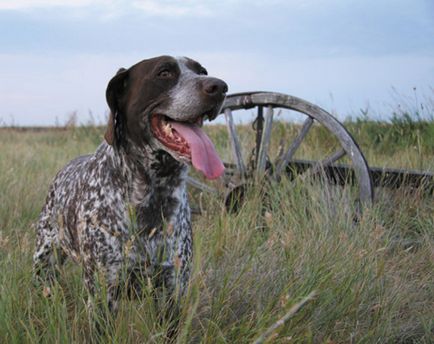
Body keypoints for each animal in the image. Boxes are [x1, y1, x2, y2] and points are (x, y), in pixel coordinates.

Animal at [32, 55, 227, 316]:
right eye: (164, 73)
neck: (153, 194)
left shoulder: (172, 292)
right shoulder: (103, 296)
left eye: (202, 71)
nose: (220, 87)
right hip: (44, 261)